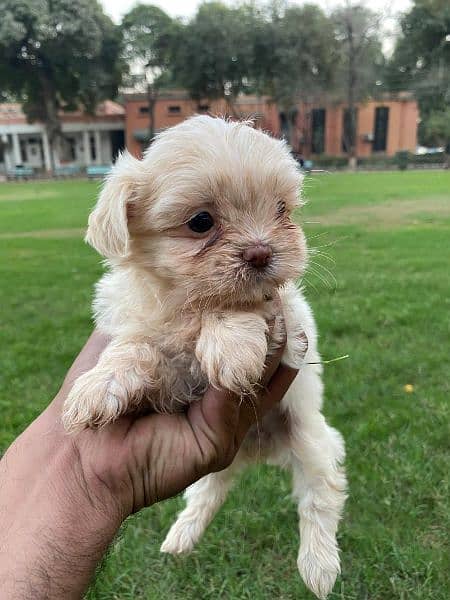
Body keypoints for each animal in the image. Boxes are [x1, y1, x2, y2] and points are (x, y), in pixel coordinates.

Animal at [61, 115, 346, 596]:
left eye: (281, 211)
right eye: (200, 222)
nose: (262, 252)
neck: (186, 303)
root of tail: (257, 449)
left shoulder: (287, 318)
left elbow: (240, 306)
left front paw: (231, 344)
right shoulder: (152, 349)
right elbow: (135, 345)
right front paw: (100, 386)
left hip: (312, 439)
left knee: (319, 496)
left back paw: (319, 567)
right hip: (213, 469)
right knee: (207, 494)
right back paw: (180, 538)